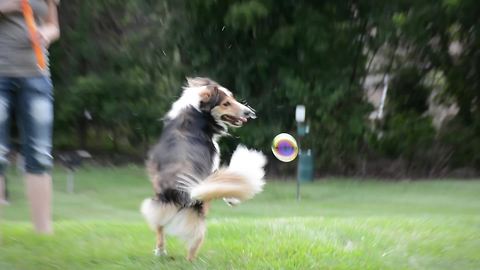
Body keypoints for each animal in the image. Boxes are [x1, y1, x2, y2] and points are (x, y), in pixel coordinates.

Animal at [141, 77, 266, 260]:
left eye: (233, 98)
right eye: (226, 103)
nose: (250, 113)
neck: (197, 111)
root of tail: (186, 191)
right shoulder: (212, 167)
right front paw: (232, 199)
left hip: (159, 205)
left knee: (160, 228)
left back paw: (160, 252)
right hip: (197, 213)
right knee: (195, 240)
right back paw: (192, 260)